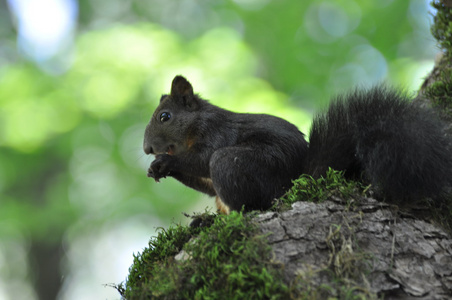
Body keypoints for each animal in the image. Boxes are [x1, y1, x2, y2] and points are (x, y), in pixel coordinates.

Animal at [143, 76, 452, 214]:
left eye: (165, 117)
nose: (147, 149)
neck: (193, 127)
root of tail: (293, 184)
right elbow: (204, 184)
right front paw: (157, 169)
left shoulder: (215, 132)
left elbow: (201, 159)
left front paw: (167, 162)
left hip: (239, 164)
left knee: (251, 202)